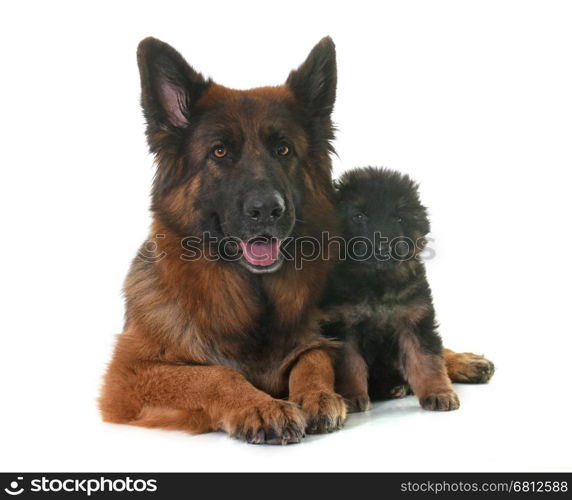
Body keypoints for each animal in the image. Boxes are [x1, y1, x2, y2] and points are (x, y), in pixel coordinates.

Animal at [320, 170, 494, 412]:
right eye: (359, 217)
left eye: (399, 218)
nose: (383, 248)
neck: (378, 284)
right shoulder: (345, 326)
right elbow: (350, 365)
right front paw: (352, 396)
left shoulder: (415, 321)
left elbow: (427, 361)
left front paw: (438, 393)